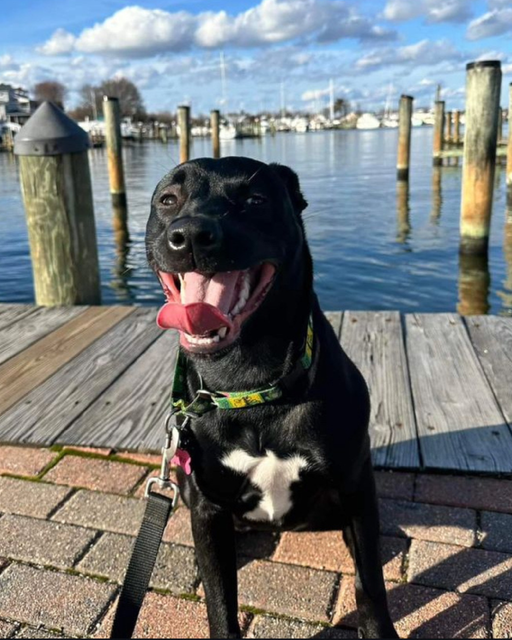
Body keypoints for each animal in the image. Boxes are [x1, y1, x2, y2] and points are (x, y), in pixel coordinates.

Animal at [146, 156, 398, 640]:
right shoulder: (206, 506)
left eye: (255, 200)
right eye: (168, 199)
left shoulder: (356, 486)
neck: (250, 385)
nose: (191, 235)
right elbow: (220, 599)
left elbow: (370, 582)